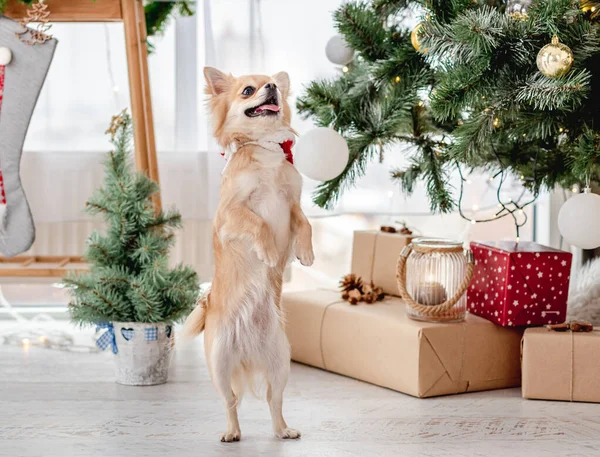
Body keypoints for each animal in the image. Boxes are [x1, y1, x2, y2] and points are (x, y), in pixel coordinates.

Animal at [180, 67, 314, 442]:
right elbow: (259, 224)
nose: (271, 87)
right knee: (231, 402)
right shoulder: (231, 215)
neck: (265, 147)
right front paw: (267, 251)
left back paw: (283, 430)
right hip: (219, 364)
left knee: (273, 399)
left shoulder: (292, 204)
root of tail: (249, 353)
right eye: (248, 91)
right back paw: (231, 432)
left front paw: (306, 253)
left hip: (281, 362)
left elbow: (306, 223)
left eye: (274, 85)